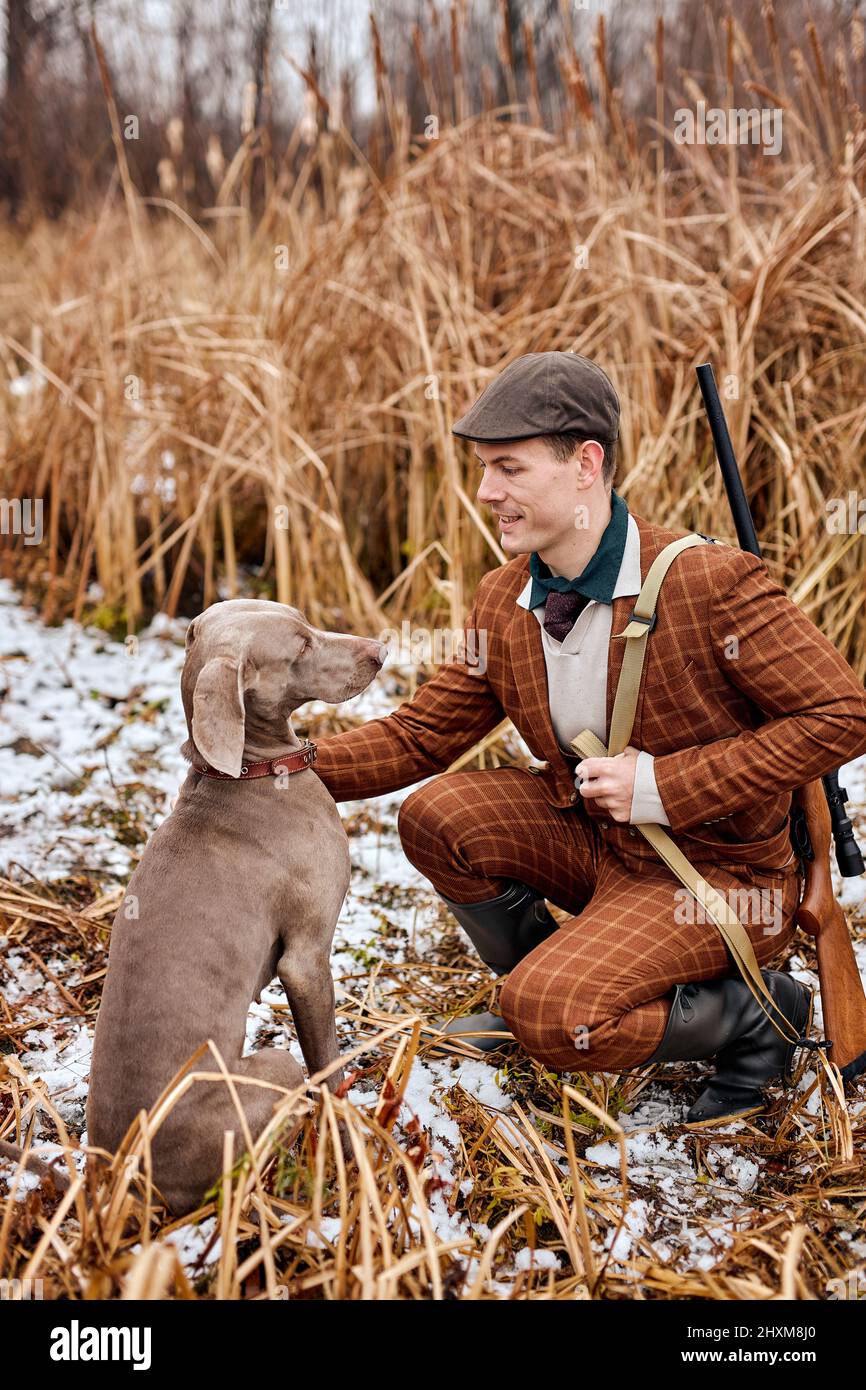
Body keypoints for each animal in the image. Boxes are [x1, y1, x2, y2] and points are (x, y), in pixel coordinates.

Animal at [80, 597, 386, 1217]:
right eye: (301, 645)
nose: (380, 651)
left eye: (307, 623)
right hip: (274, 1066)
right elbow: (326, 1062)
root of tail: (129, 1178)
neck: (249, 772)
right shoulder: (306, 958)